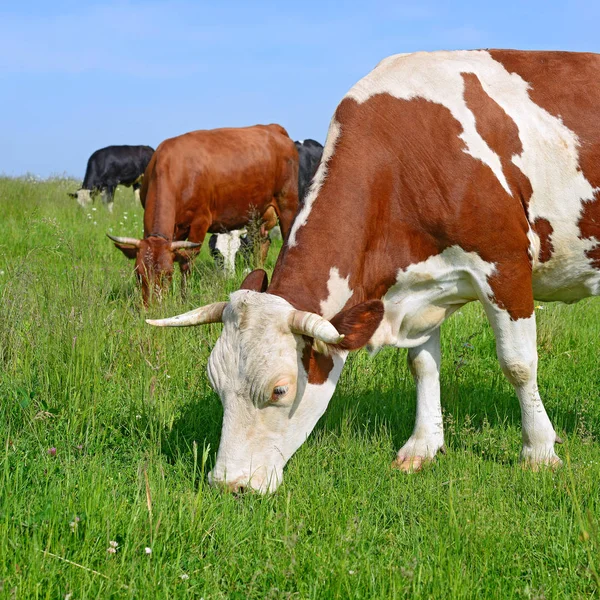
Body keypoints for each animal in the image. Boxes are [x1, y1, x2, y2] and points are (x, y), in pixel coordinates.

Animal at [107, 125, 298, 304]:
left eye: (168, 274)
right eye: (138, 274)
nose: (152, 307)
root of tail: (272, 128)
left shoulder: (200, 222)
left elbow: (187, 261)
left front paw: (184, 298)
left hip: (287, 205)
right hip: (257, 214)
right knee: (261, 244)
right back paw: (257, 270)